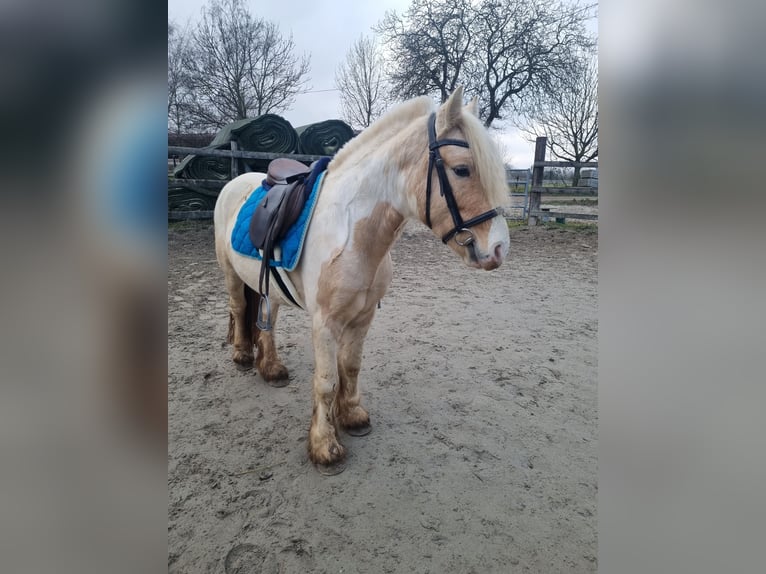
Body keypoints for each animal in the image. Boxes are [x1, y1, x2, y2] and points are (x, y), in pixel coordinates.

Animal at [214, 88, 510, 474]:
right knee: (238, 309)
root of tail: (236, 182)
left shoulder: (364, 316)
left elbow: (350, 367)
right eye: (462, 169)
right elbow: (326, 381)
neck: (353, 234)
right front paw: (324, 447)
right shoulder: (324, 323)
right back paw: (242, 357)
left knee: (268, 323)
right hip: (231, 274)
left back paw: (272, 369)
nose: (499, 248)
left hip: (268, 288)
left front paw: (352, 416)